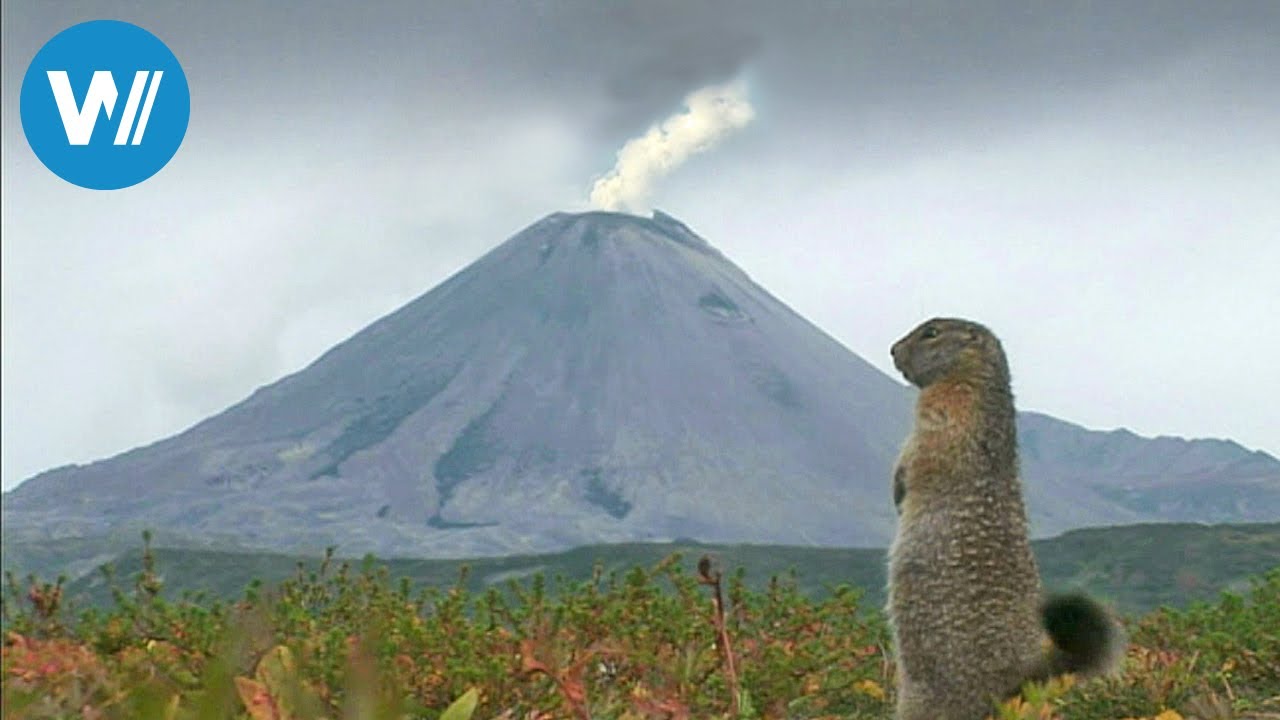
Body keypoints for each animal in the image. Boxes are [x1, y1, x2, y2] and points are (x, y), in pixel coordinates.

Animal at [890, 317, 1121, 717]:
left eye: (932, 332)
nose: (891, 349)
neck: (970, 378)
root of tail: (1015, 684)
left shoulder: (944, 411)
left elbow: (918, 451)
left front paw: (899, 486)